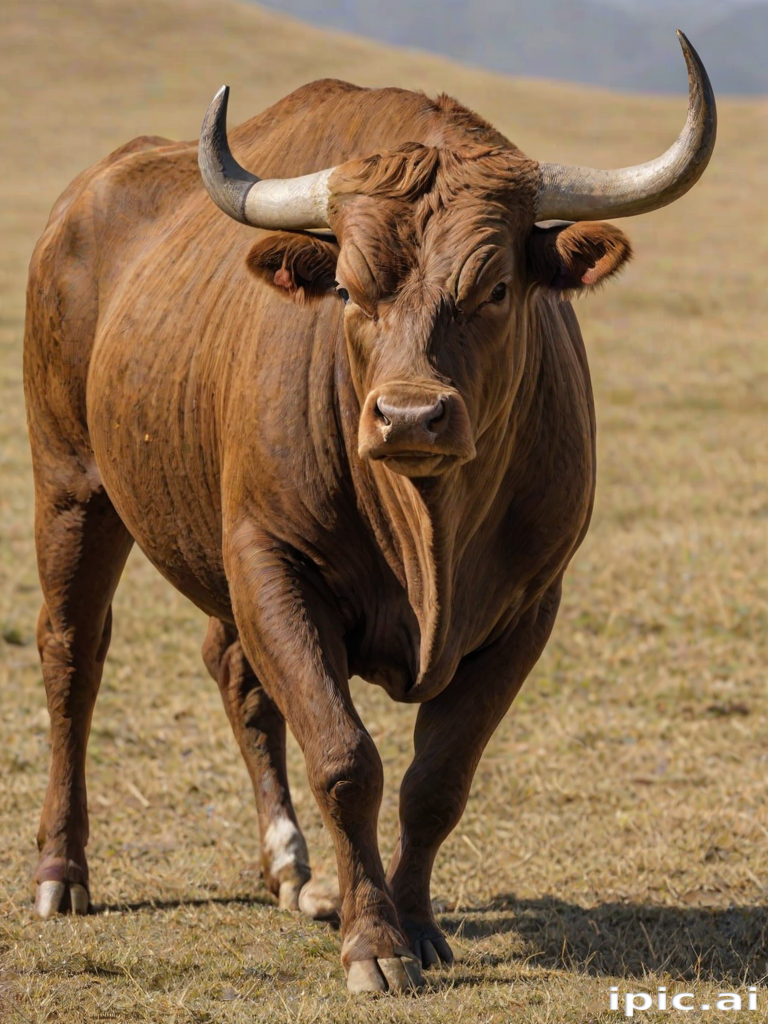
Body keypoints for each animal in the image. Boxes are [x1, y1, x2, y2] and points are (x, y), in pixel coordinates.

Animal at [23, 32, 714, 994]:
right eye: (350, 288)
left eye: (497, 287)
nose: (411, 416)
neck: (426, 532)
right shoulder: (272, 561)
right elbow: (346, 759)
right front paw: (375, 943)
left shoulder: (528, 607)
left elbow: (437, 779)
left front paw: (417, 926)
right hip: (72, 489)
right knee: (72, 657)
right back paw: (63, 870)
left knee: (231, 671)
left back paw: (290, 868)